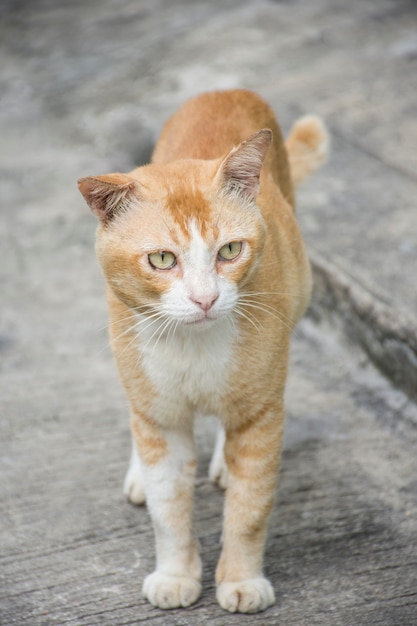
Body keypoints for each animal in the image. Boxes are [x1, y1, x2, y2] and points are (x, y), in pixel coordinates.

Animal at [76, 90, 326, 612]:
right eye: (162, 259)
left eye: (229, 251)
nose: (205, 299)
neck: (193, 345)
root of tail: (227, 91)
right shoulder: (162, 420)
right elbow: (168, 508)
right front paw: (175, 575)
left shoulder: (261, 414)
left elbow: (249, 511)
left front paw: (241, 580)